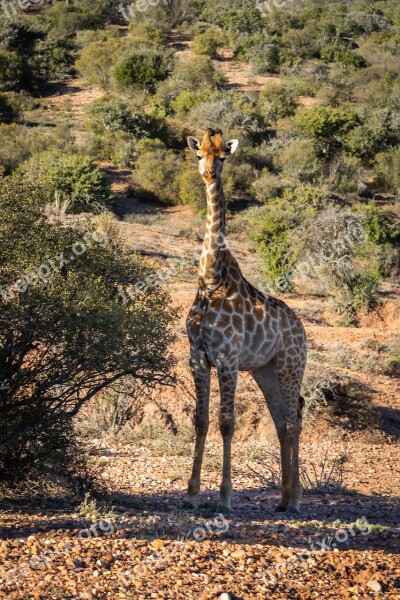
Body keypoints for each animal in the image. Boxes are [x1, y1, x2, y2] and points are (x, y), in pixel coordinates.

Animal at [183, 129, 308, 512]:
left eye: (223, 157)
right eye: (199, 155)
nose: (209, 173)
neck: (211, 280)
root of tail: (302, 329)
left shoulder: (227, 358)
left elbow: (227, 423)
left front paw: (224, 497)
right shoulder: (197, 357)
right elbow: (201, 420)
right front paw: (191, 494)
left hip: (290, 365)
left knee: (294, 420)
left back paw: (295, 501)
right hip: (265, 370)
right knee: (282, 421)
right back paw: (282, 498)